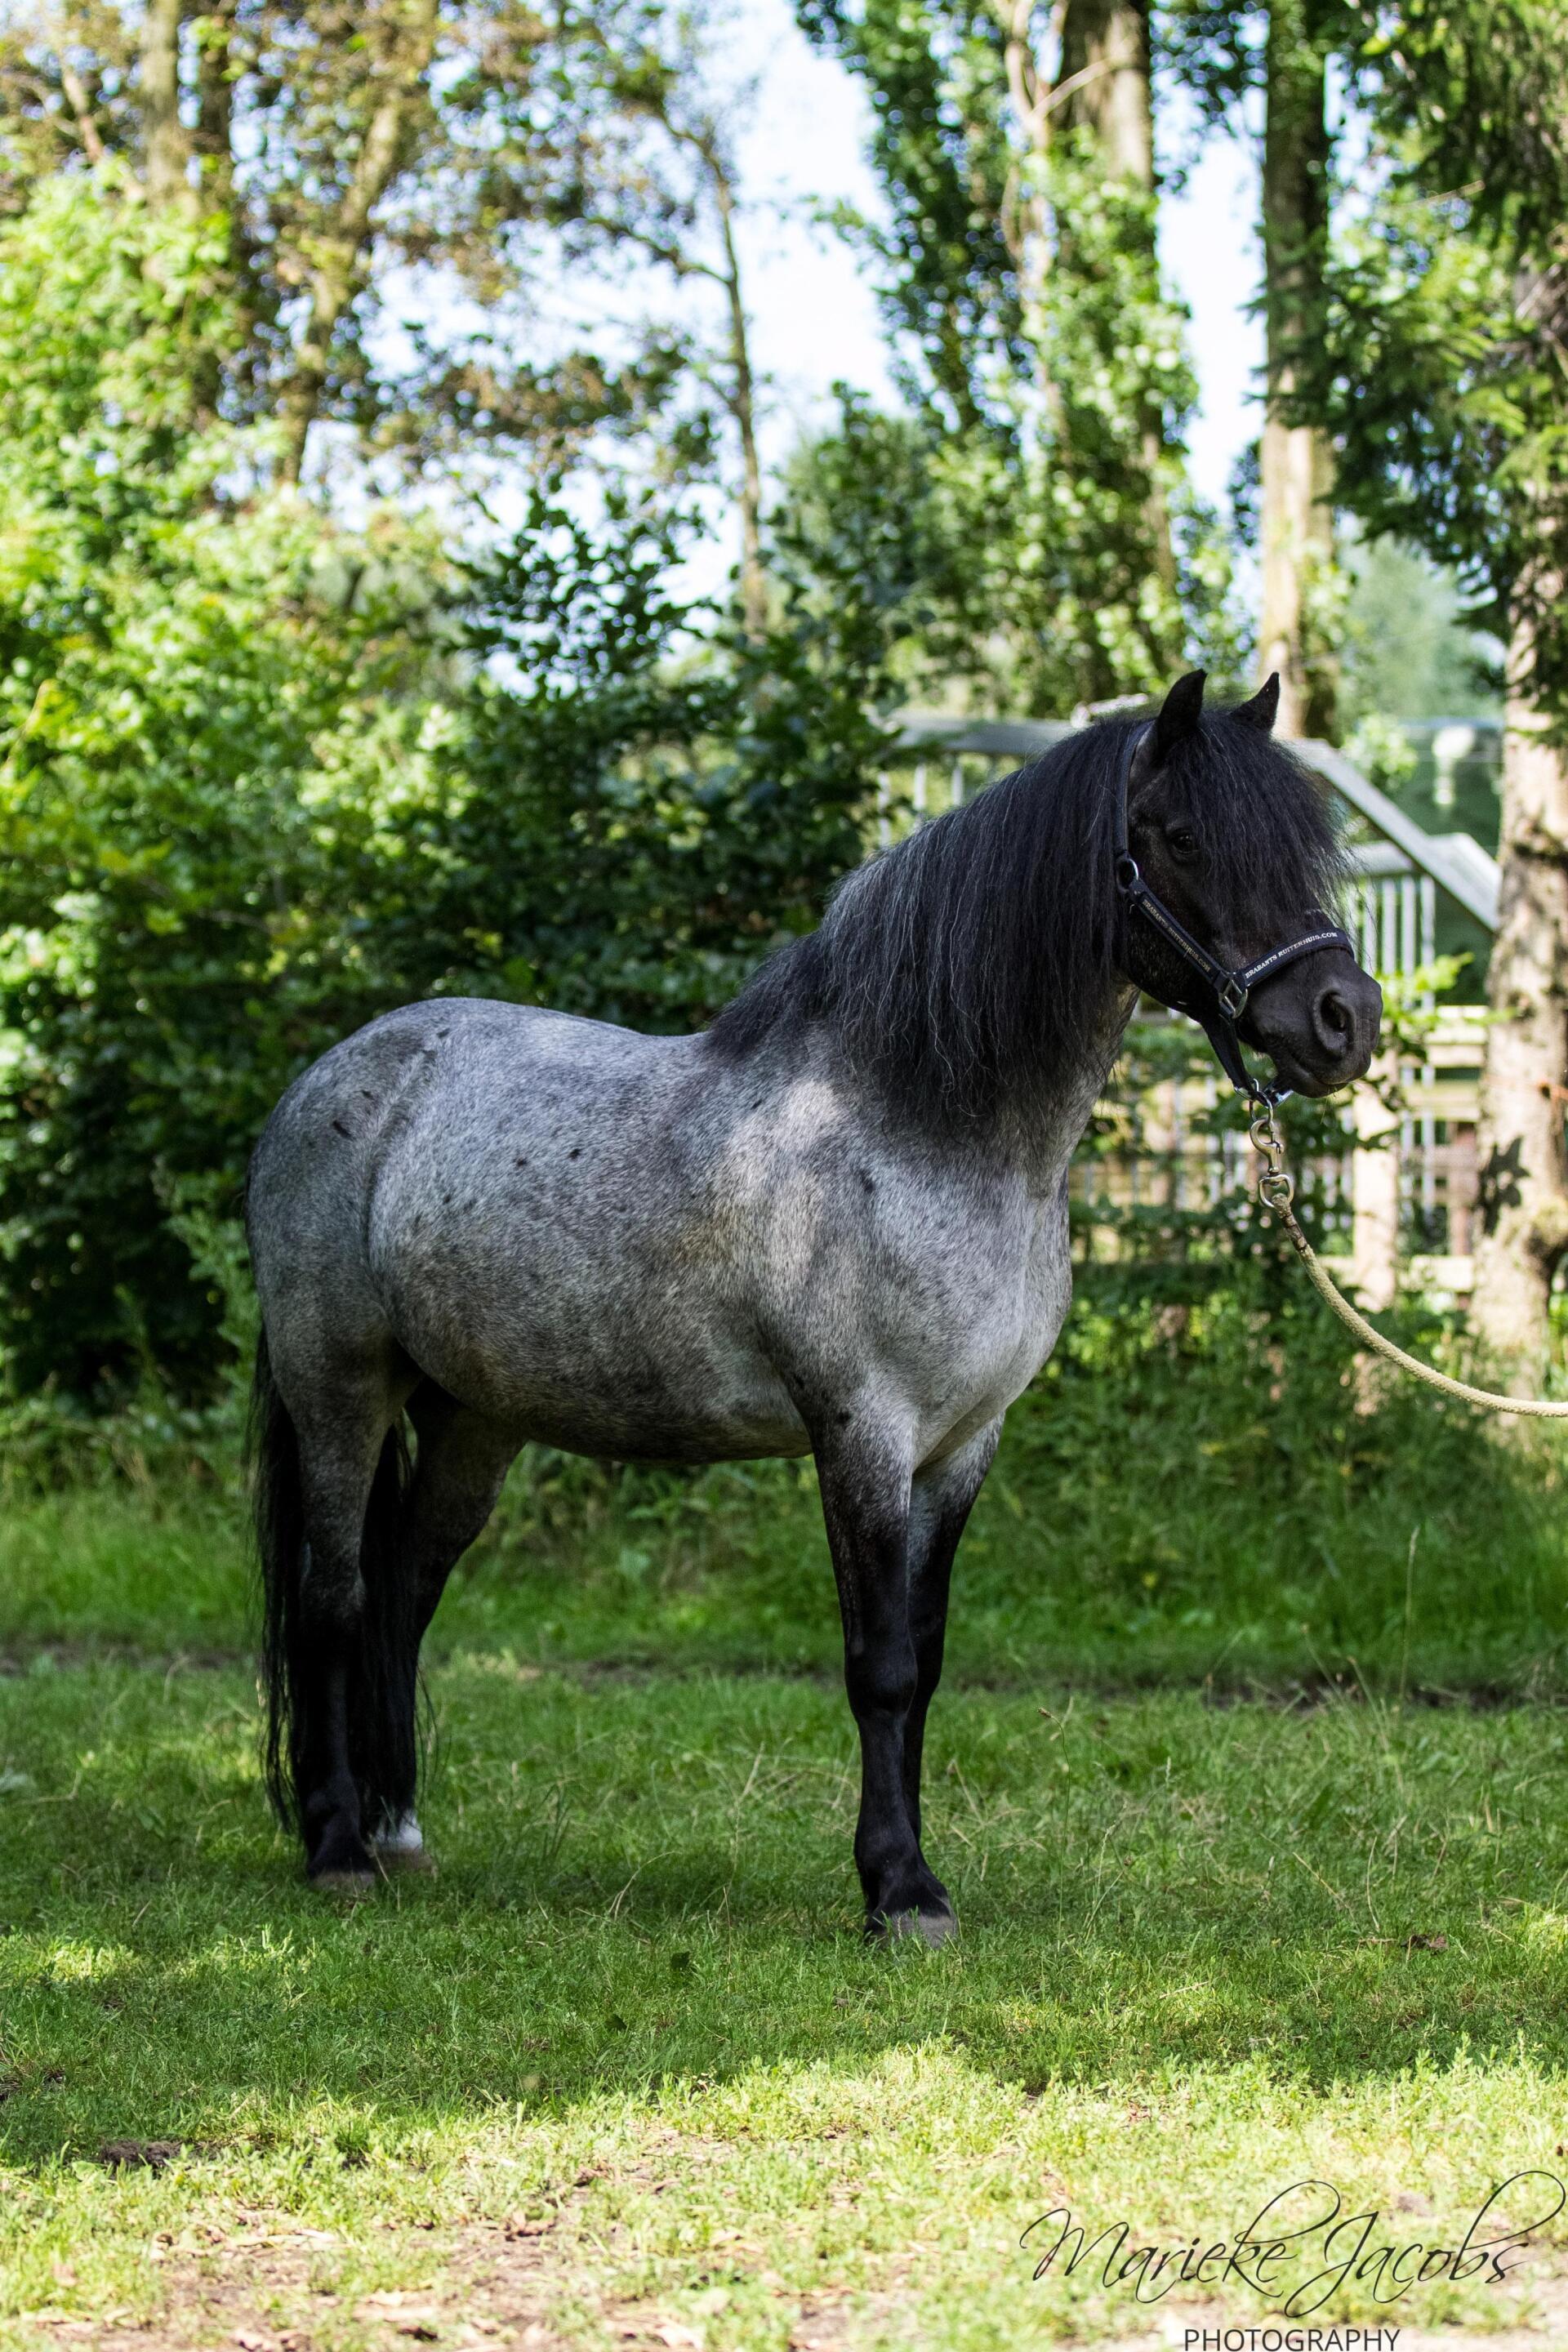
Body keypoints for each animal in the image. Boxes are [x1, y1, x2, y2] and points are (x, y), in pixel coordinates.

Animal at [246, 669, 1381, 1937]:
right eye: (1182, 838)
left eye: (1304, 845)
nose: (1345, 1021)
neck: (926, 1125)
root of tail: (330, 1078)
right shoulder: (863, 1431)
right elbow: (878, 1666)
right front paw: (901, 1892)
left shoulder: (964, 1444)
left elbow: (924, 1663)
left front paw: (911, 1875)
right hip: (339, 1387)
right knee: (334, 1597)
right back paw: (339, 1846)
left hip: (472, 1419)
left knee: (402, 1589)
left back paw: (398, 1832)